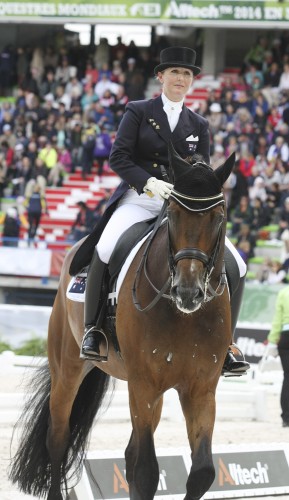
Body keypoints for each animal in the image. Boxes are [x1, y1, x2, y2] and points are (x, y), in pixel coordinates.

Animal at [8, 145, 234, 500]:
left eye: (219, 216)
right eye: (172, 213)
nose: (188, 292)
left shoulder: (201, 387)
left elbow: (202, 472)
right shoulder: (143, 384)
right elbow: (146, 471)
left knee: (127, 453)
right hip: (68, 367)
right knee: (57, 438)